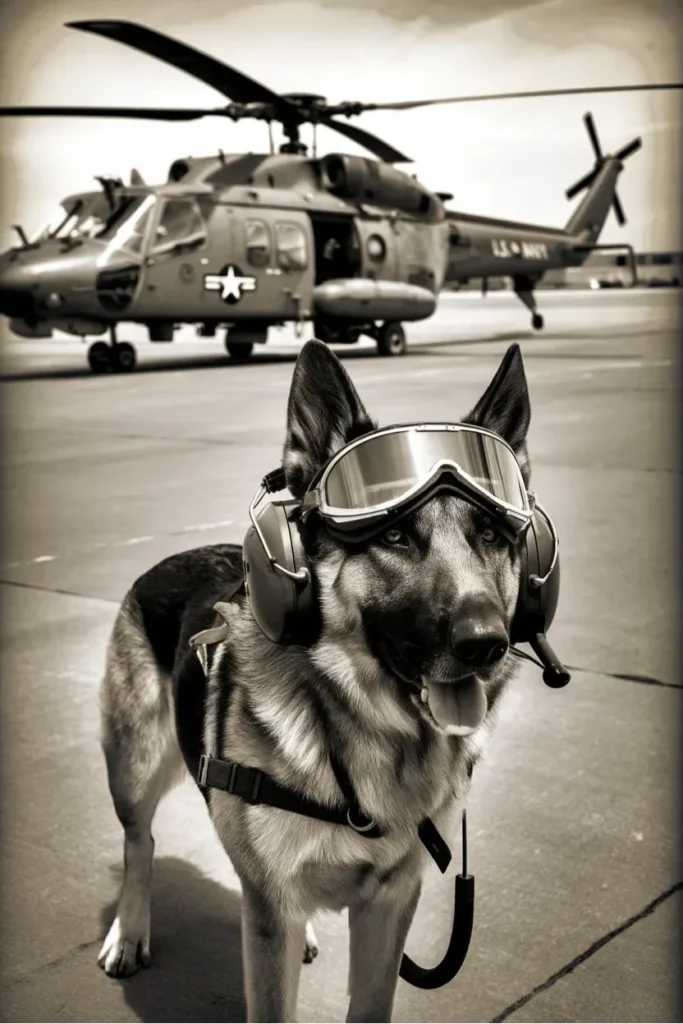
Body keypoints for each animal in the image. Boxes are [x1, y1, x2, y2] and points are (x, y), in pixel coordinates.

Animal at [98, 339, 532, 1019]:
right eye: (395, 535)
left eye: (489, 532)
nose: (485, 643)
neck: (368, 745)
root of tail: (169, 560)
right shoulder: (271, 908)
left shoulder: (389, 904)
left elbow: (370, 1006)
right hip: (134, 769)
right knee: (138, 844)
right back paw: (130, 930)